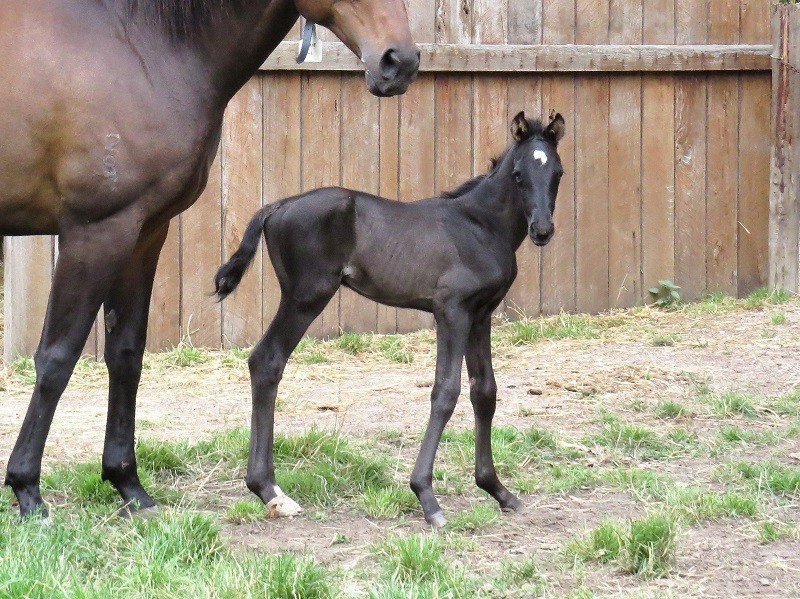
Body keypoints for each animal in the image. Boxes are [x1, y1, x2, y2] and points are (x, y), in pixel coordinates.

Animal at [1, 0, 419, 518]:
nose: (399, 62)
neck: (140, 45)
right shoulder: (95, 231)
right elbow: (57, 357)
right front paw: (26, 489)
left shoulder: (144, 232)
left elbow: (126, 354)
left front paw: (128, 484)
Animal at [214, 111, 567, 527]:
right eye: (518, 174)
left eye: (557, 172)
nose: (542, 230)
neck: (480, 225)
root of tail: (278, 205)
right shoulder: (452, 311)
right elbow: (445, 392)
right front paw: (427, 497)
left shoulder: (481, 314)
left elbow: (485, 392)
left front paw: (497, 490)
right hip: (306, 297)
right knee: (268, 360)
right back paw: (270, 491)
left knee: (263, 362)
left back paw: (267, 489)